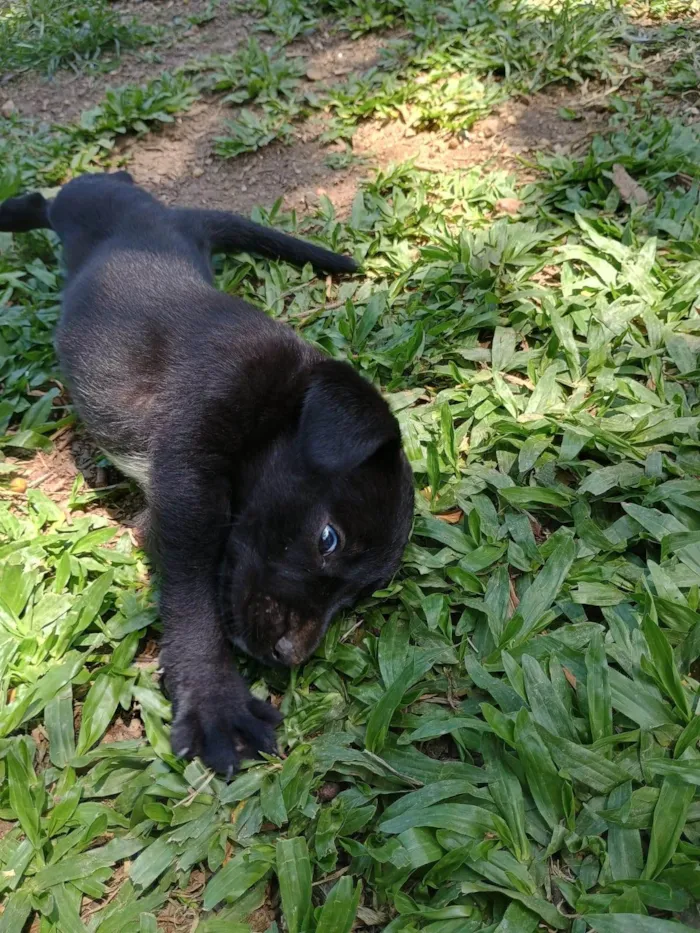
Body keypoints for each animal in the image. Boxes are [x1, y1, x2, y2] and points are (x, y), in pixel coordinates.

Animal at [0, 173, 412, 772]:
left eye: (359, 596)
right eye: (328, 539)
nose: (290, 657)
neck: (282, 395)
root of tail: (171, 213)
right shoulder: (191, 485)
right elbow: (193, 596)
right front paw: (215, 700)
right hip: (81, 205)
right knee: (47, 201)